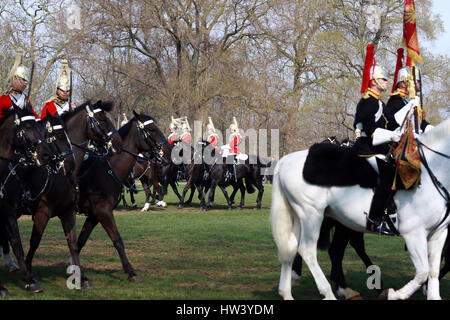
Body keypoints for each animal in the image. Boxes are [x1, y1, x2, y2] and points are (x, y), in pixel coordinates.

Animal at [270, 117, 450, 300]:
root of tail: (286, 159)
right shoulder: (414, 233)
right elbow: (423, 271)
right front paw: (394, 294)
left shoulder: (439, 234)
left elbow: (433, 271)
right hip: (312, 215)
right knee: (307, 250)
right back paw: (329, 292)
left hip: (304, 217)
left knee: (293, 248)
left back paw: (288, 292)